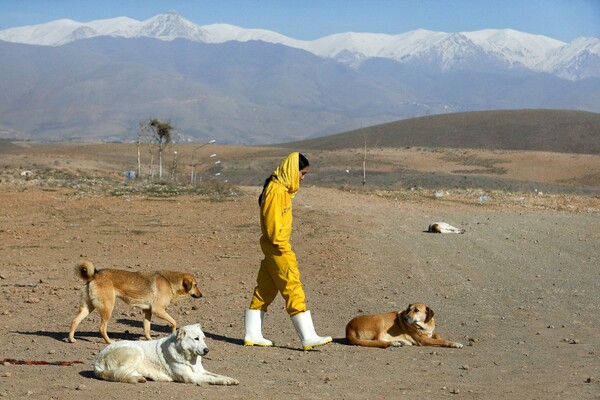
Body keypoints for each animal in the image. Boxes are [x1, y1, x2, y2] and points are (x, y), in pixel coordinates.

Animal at [68, 260, 202, 344]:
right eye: (195, 285)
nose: (201, 295)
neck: (169, 282)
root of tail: (94, 275)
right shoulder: (158, 310)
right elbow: (174, 322)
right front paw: (174, 333)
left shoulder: (147, 311)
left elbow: (147, 328)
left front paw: (149, 340)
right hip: (108, 308)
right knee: (101, 328)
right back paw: (109, 341)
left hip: (87, 308)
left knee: (74, 321)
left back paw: (71, 339)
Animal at [94, 322, 239, 384]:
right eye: (196, 339)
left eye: (204, 339)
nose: (206, 350)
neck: (188, 357)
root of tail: (97, 362)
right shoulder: (191, 377)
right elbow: (211, 378)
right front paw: (225, 382)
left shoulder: (200, 371)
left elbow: (216, 375)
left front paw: (229, 379)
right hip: (136, 351)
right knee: (119, 373)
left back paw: (140, 377)